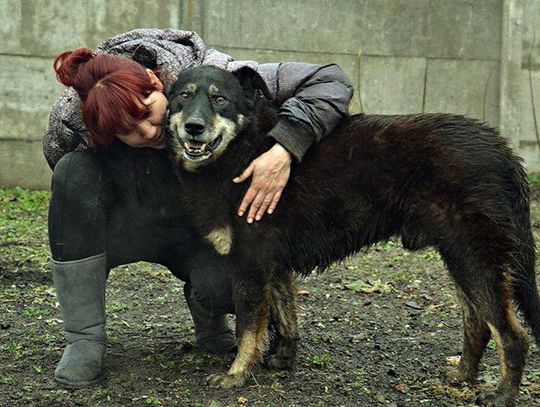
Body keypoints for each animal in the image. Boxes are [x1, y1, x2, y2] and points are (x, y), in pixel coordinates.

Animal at [167, 65, 536, 406]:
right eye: (183, 96)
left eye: (220, 99)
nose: (194, 127)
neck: (244, 148)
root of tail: (504, 151)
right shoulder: (274, 267)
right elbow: (284, 317)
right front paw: (282, 359)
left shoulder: (250, 265)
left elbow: (248, 328)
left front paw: (237, 374)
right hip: (459, 256)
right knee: (478, 324)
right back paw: (463, 375)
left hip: (474, 258)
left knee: (513, 336)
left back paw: (503, 394)